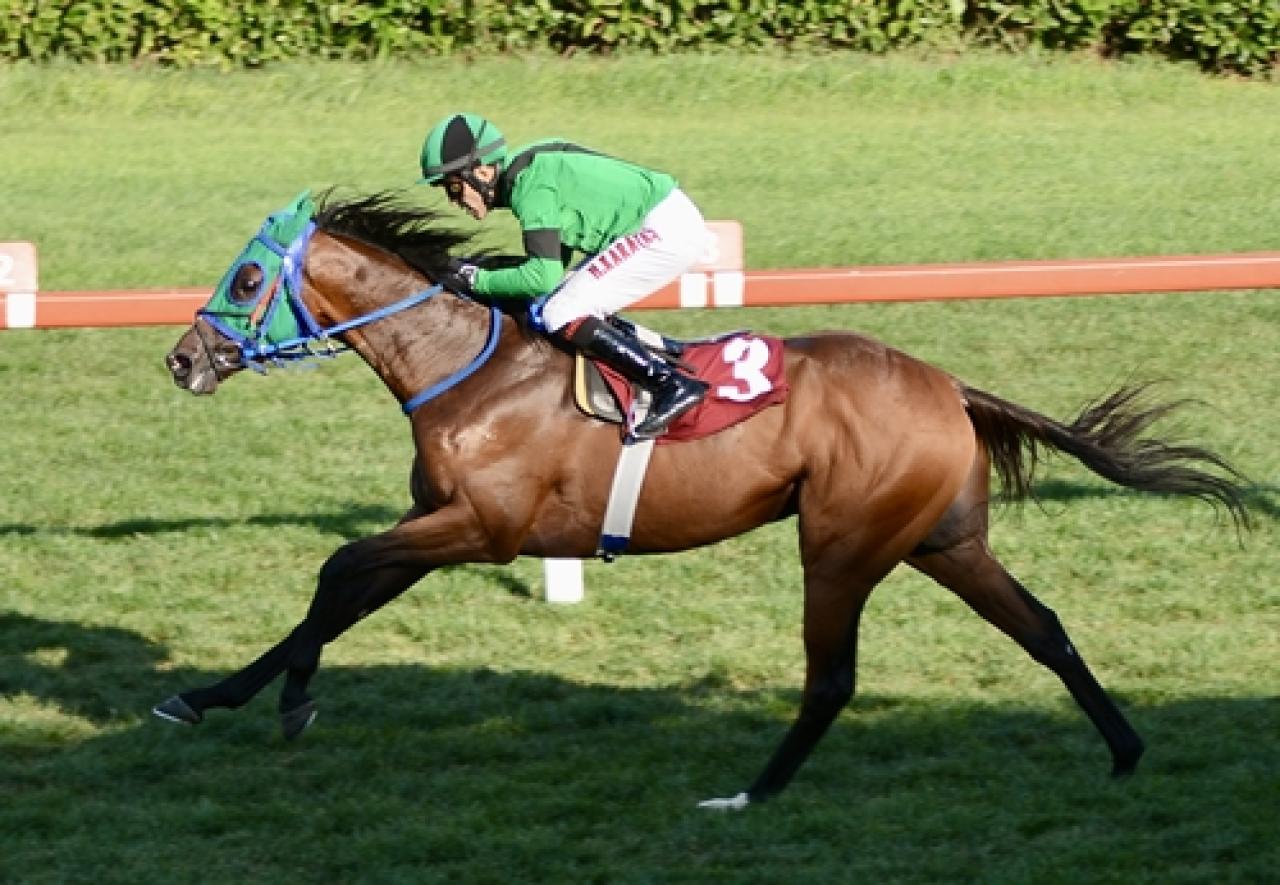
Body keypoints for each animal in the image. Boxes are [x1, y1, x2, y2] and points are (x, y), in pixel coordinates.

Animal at [154, 192, 1244, 809]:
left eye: (246, 277)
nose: (181, 359)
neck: (466, 369)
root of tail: (948, 386)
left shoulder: (481, 529)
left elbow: (336, 567)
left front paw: (277, 699)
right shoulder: (442, 525)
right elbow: (341, 591)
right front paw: (219, 696)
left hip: (842, 543)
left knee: (831, 678)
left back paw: (750, 794)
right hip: (943, 540)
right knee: (1044, 628)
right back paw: (1124, 751)